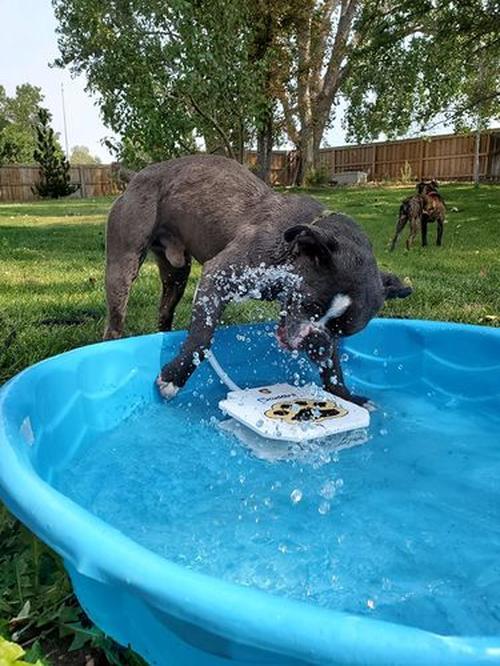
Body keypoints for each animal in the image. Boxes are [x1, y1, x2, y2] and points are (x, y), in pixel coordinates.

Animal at [104, 154, 410, 404]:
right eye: (308, 306)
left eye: (342, 333)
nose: (316, 345)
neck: (295, 242)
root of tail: (138, 175)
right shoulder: (218, 276)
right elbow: (202, 338)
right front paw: (174, 378)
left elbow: (334, 367)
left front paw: (345, 395)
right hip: (123, 267)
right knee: (115, 322)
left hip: (175, 278)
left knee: (164, 310)